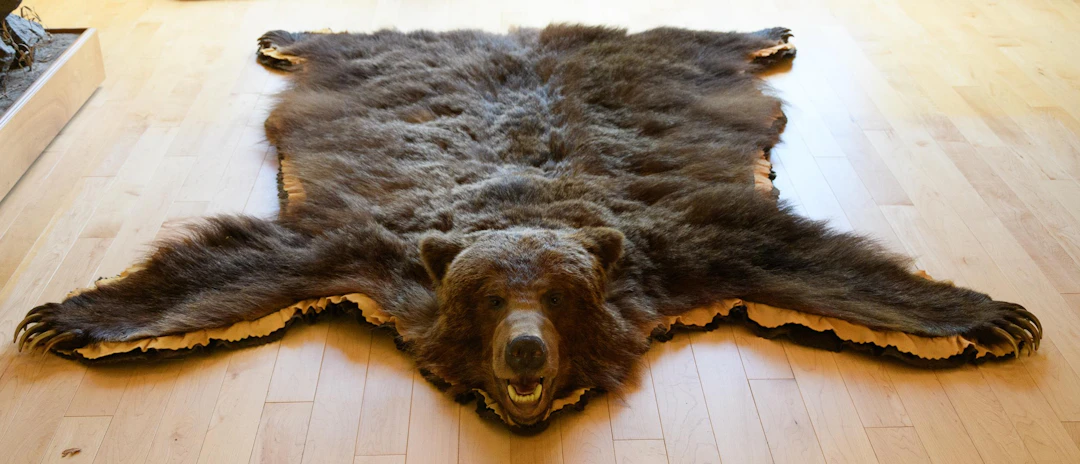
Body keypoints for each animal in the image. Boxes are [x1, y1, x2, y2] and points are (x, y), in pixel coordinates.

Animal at [14, 24, 1039, 431]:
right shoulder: (362, 244)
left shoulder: (685, 246)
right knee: (346, 40)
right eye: (485, 297)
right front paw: (68, 316)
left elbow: (806, 261)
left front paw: (990, 315)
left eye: (557, 296)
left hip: (673, 57)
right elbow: (244, 264)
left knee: (705, 40)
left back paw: (767, 30)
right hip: (375, 57)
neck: (523, 208)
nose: (526, 352)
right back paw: (286, 34)